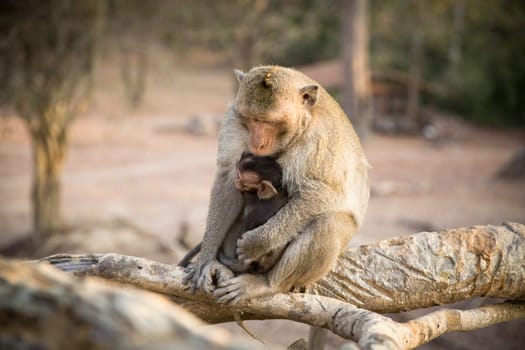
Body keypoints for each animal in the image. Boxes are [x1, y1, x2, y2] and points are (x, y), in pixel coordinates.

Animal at [184, 65, 368, 304]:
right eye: (252, 119)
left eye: (270, 122)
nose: (257, 142)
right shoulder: (234, 121)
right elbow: (227, 177)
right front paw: (206, 260)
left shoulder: (320, 140)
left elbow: (322, 193)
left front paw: (257, 243)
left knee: (329, 224)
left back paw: (267, 284)